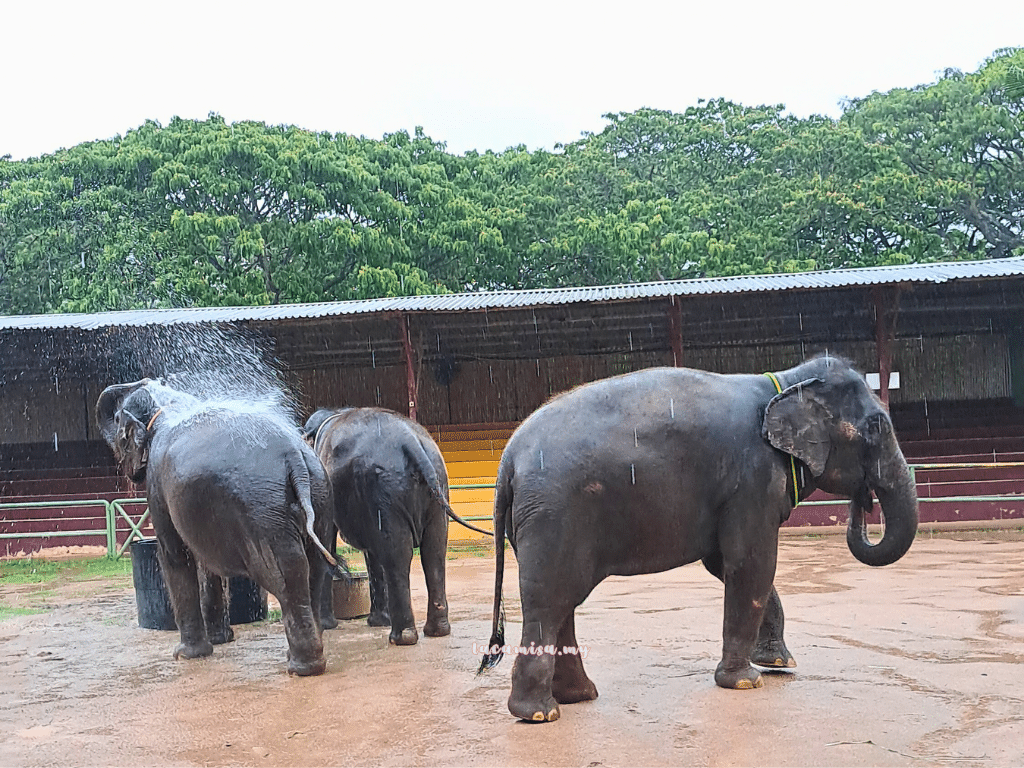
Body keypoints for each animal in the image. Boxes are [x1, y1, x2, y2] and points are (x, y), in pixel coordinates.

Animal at [96, 382, 344, 675]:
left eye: (118, 428)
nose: (143, 381)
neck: (168, 404)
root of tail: (293, 457)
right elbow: (206, 563)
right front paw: (220, 641)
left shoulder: (157, 485)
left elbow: (174, 555)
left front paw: (185, 655)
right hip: (320, 496)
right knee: (315, 569)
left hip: (263, 510)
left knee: (284, 572)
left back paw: (301, 668)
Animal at [301, 409, 489, 651]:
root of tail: (411, 441)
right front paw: (378, 622)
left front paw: (329, 626)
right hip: (435, 489)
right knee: (434, 552)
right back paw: (436, 631)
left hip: (386, 489)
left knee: (397, 555)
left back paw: (400, 638)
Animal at [479, 358, 921, 724]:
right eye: (877, 427)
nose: (863, 500)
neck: (786, 380)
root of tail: (507, 460)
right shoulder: (754, 478)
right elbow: (752, 562)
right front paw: (746, 681)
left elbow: (727, 564)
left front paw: (779, 664)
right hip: (554, 514)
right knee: (549, 602)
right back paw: (540, 714)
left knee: (562, 603)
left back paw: (579, 697)